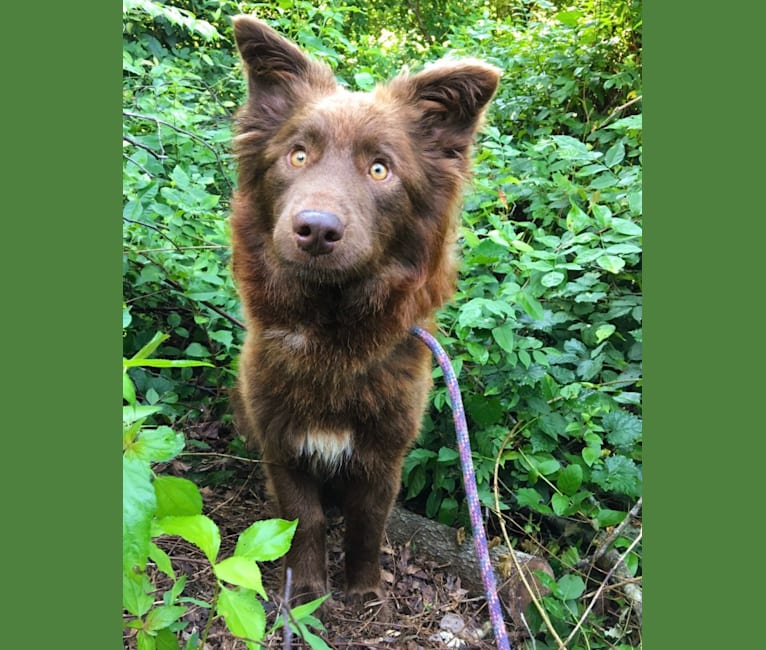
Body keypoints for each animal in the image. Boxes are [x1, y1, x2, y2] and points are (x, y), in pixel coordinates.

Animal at [231, 16, 500, 612]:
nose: (316, 229)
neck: (332, 335)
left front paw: (365, 589)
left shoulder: (384, 455)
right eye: (298, 156)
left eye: (380, 169)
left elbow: (367, 523)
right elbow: (303, 520)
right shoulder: (283, 445)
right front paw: (307, 590)